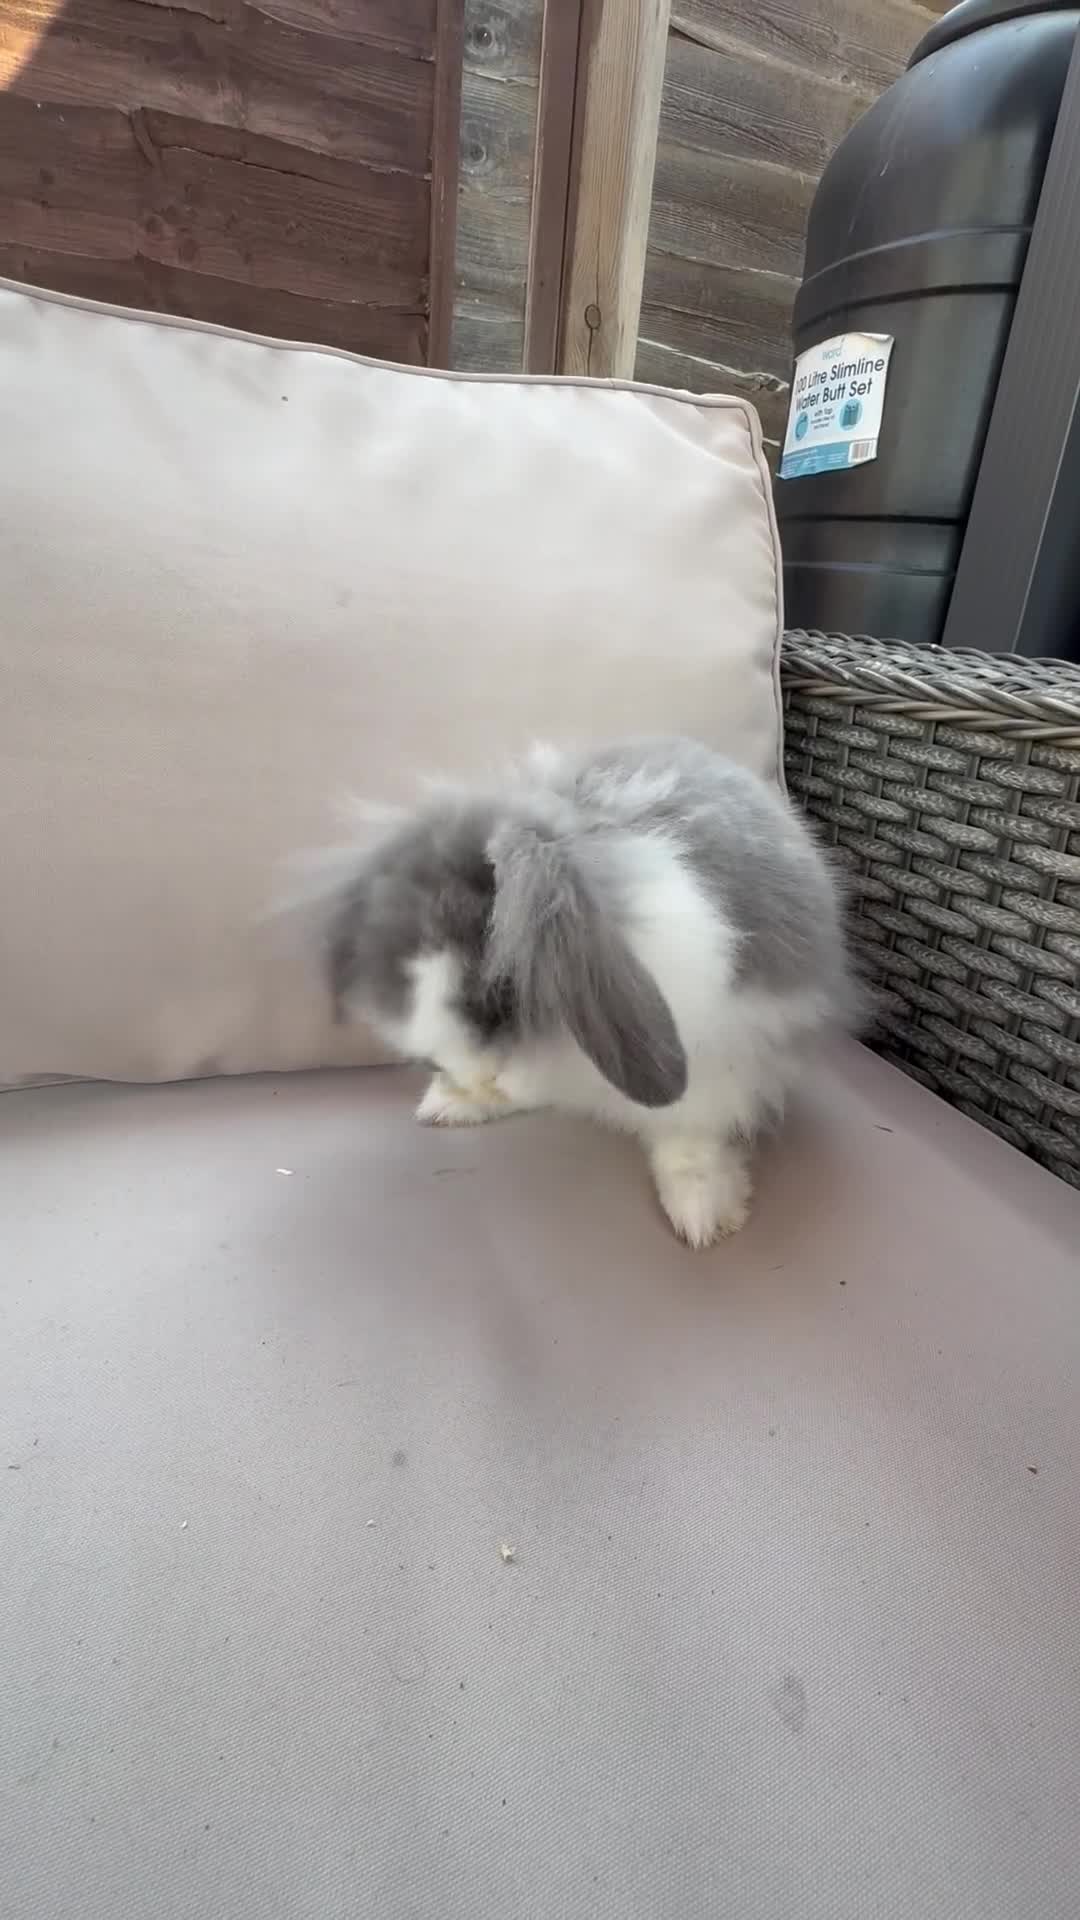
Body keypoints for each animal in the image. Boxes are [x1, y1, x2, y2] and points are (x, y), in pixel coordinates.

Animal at [313, 738, 858, 1247]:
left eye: (501, 993)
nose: (475, 1076)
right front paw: (450, 1102)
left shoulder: (719, 1059)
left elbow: (689, 1135)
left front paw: (702, 1215)